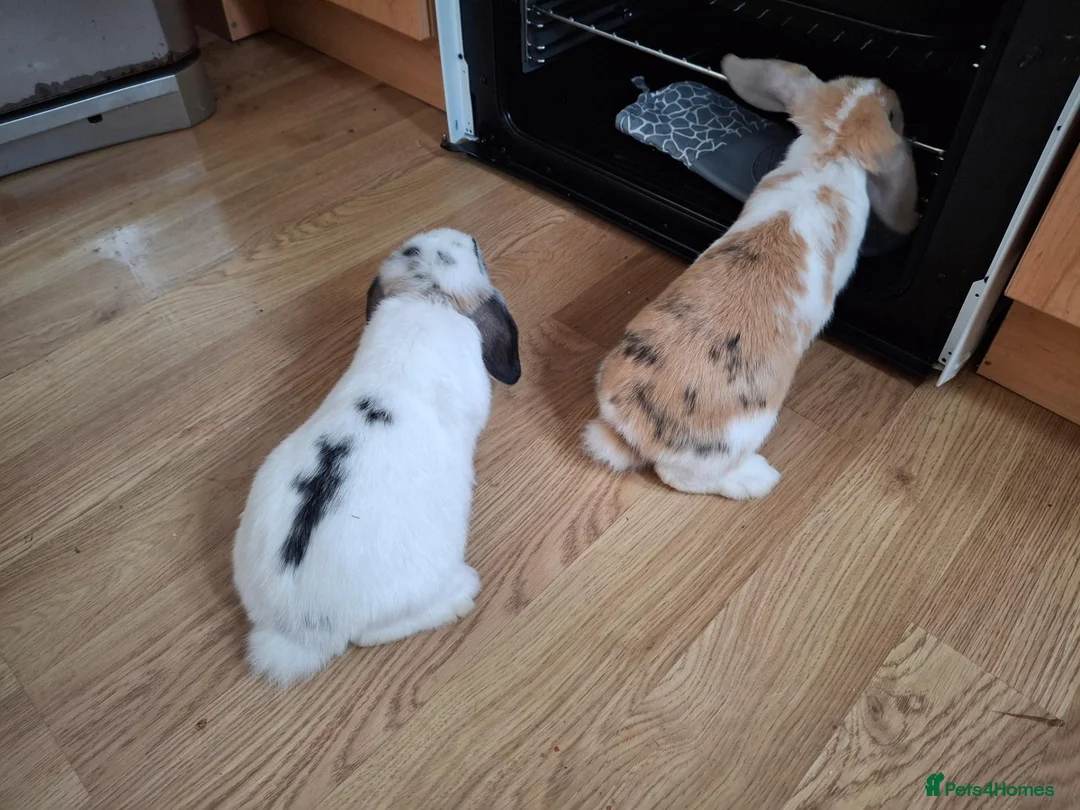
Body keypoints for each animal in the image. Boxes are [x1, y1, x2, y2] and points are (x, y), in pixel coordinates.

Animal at [232, 228, 521, 686]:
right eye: (475, 253)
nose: (468, 235)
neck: (428, 295)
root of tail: (298, 630)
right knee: (369, 637)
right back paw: (462, 594)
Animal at [583, 55, 918, 499]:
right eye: (893, 114)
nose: (886, 85)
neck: (830, 150)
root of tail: (634, 427)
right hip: (743, 432)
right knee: (680, 477)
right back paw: (756, 479)